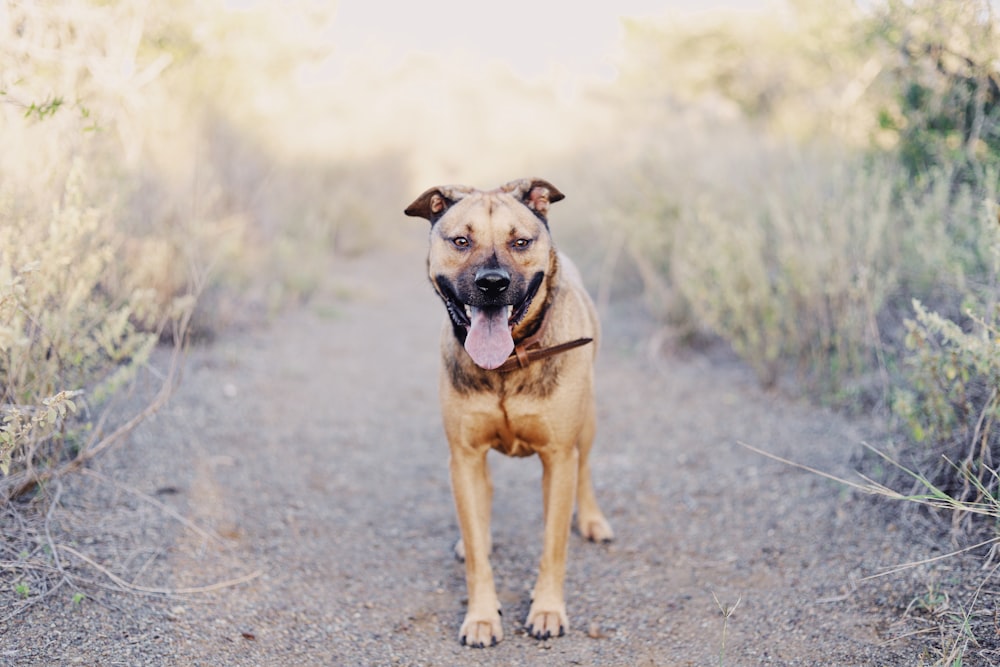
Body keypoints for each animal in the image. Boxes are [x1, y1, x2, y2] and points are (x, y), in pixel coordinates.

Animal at [404, 177, 608, 648]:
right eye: (461, 241)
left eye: (520, 242)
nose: (493, 283)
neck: (509, 362)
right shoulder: (464, 455)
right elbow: (477, 555)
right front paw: (481, 616)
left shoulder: (558, 457)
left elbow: (553, 545)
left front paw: (547, 610)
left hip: (587, 423)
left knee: (586, 467)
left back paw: (592, 519)